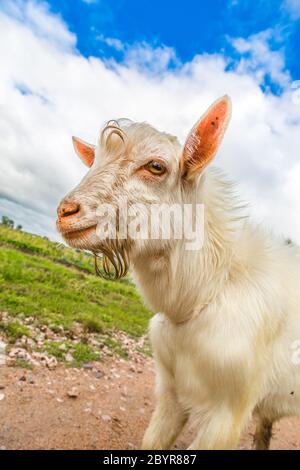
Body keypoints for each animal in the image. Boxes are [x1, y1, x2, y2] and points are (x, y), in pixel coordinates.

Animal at [56, 96, 300, 452]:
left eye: (156, 166)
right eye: (93, 163)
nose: (65, 212)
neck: (207, 292)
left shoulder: (227, 413)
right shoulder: (170, 392)